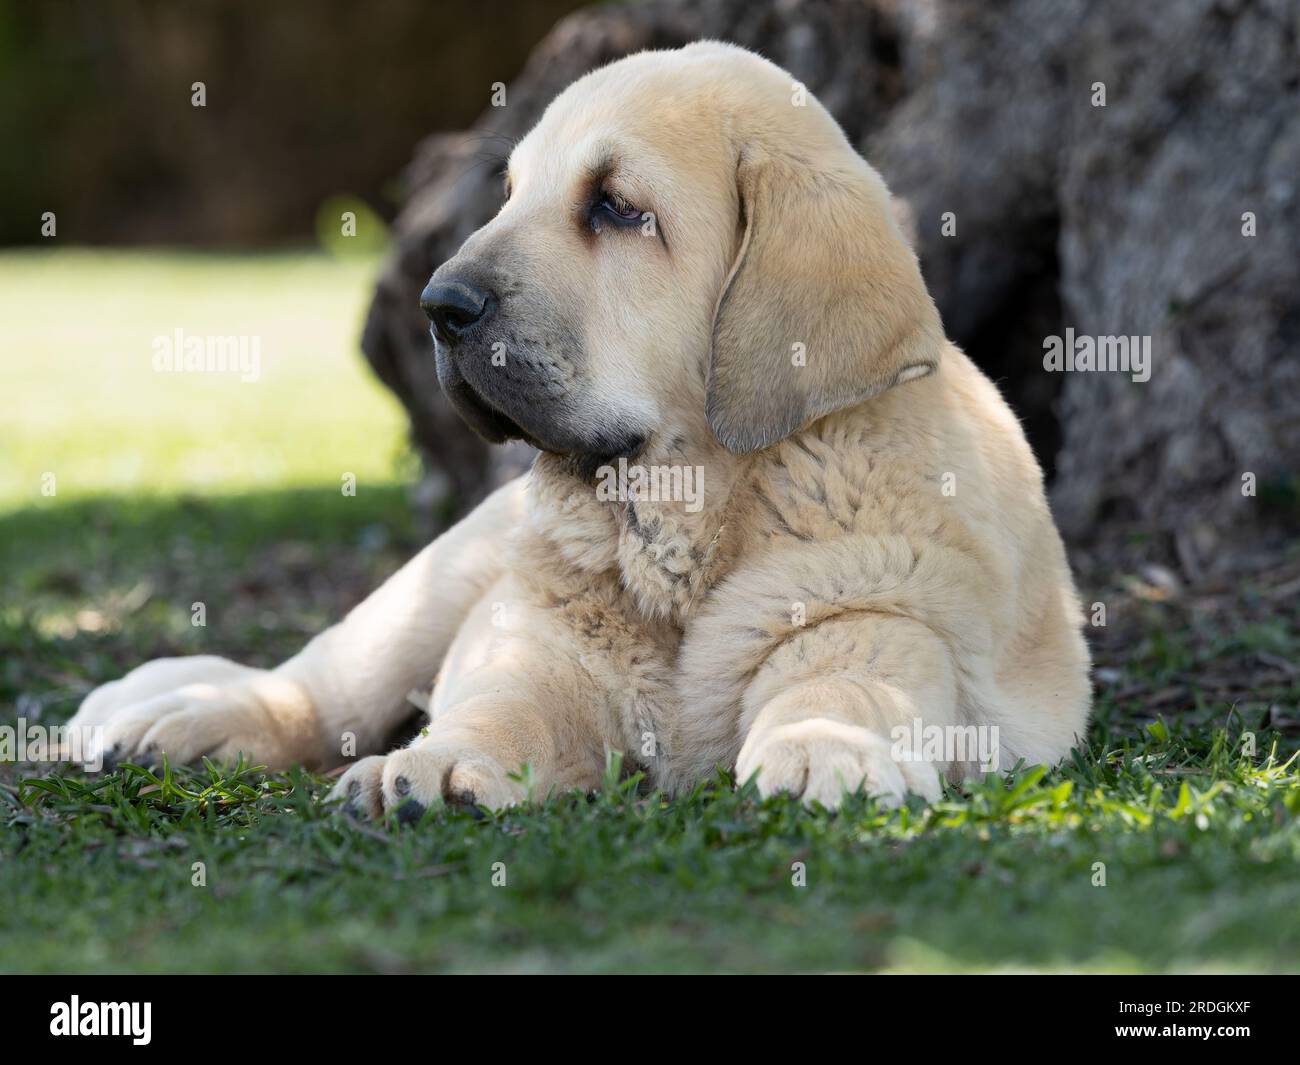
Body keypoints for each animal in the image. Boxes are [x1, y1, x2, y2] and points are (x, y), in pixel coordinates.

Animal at [65, 43, 1092, 816]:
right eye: (512, 193)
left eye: (616, 207)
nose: (439, 306)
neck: (687, 513)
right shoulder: (542, 649)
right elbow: (502, 709)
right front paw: (434, 764)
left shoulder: (880, 616)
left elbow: (841, 684)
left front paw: (821, 749)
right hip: (441, 581)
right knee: (318, 685)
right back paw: (185, 722)